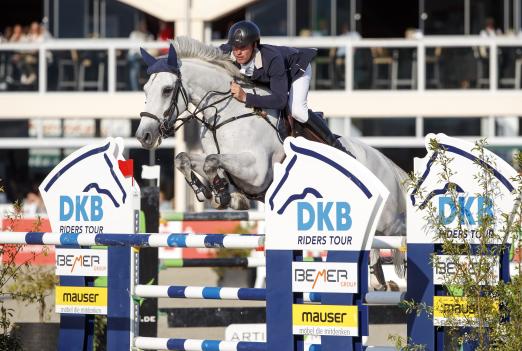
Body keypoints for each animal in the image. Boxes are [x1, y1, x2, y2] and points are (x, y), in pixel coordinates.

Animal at [134, 36, 406, 288]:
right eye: (145, 90)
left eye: (167, 89)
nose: (144, 136)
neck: (226, 113)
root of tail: (386, 163)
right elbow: (185, 159)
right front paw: (213, 192)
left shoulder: (257, 172)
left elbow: (212, 161)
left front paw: (222, 193)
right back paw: (379, 280)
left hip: (389, 222)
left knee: (402, 237)